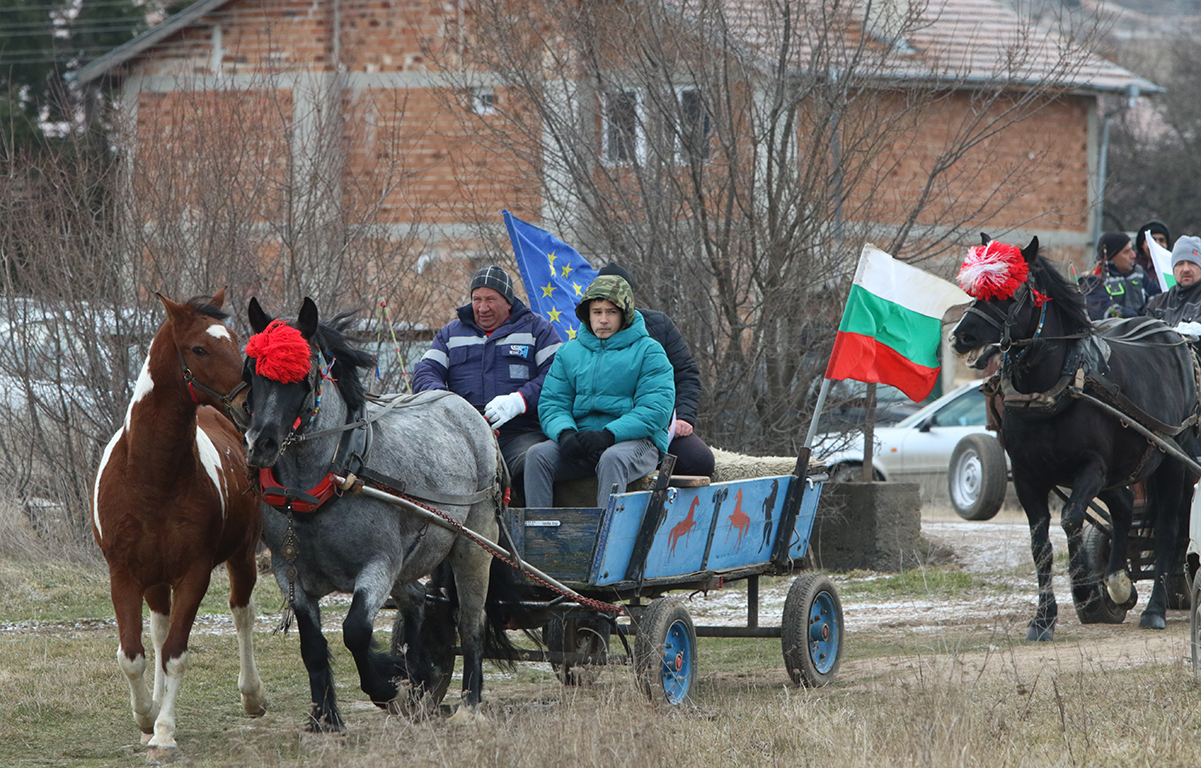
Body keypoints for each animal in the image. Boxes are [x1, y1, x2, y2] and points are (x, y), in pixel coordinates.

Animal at [90, 289, 265, 764]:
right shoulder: (124, 575)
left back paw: (252, 695)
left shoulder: (195, 573)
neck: (151, 477)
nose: (250, 405)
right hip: (154, 579)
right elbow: (134, 654)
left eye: (238, 341)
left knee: (242, 614)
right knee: (158, 628)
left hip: (242, 557)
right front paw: (146, 717)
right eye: (199, 349)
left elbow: (176, 654)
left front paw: (164, 732)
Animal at [241, 298, 509, 730]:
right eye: (250, 372)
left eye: (303, 375)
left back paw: (469, 704)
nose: (259, 444)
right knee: (416, 601)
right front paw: (325, 717)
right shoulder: (289, 574)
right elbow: (312, 645)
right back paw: (418, 677)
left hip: (474, 545)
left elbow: (355, 631)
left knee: (471, 624)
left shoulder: (378, 565)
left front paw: (386, 686)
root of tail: (466, 409)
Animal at [951, 235, 1196, 644]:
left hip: (1170, 459)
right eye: (975, 291)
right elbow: (1040, 544)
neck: (1054, 385)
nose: (960, 336)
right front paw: (1043, 619)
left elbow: (1070, 519)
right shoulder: (1029, 477)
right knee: (1124, 506)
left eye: (1009, 292)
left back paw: (1154, 608)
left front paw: (1083, 584)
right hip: (1125, 466)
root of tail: (1174, 337)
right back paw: (1118, 582)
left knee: (1167, 530)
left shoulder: (1092, 468)